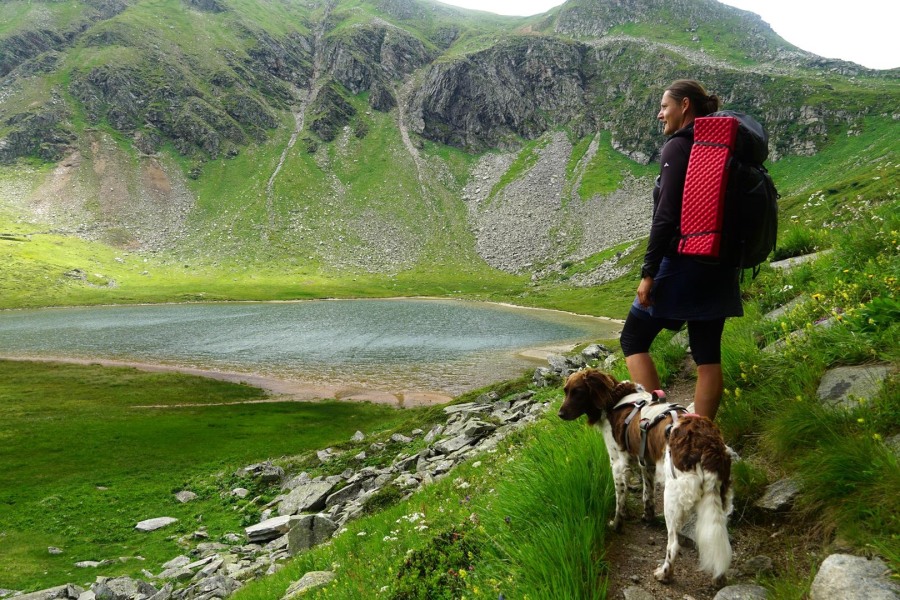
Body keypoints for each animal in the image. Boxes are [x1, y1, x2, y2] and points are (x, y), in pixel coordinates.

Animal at [560, 368, 736, 584]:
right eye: (565, 391)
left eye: (577, 392)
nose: (560, 414)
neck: (615, 399)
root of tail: (706, 444)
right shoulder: (647, 462)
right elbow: (647, 494)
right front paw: (647, 517)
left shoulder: (617, 464)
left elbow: (620, 501)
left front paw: (616, 524)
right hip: (721, 496)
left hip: (672, 498)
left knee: (673, 544)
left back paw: (664, 573)